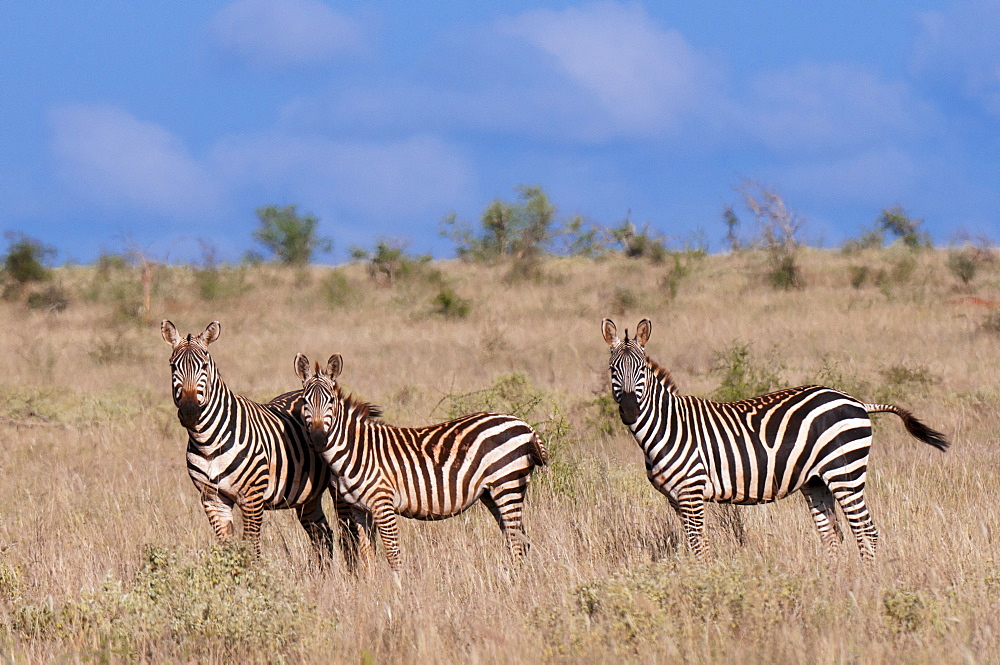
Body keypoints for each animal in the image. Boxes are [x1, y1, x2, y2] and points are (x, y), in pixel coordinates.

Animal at [162, 320, 366, 564]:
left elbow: (251, 547)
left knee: (349, 534)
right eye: (173, 366)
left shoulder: (251, 497)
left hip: (340, 490)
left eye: (203, 366)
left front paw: (253, 575)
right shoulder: (212, 499)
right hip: (307, 496)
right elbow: (226, 548)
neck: (207, 442)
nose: (190, 411)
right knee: (322, 534)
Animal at [292, 350, 552, 572]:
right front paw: (373, 591)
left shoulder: (383, 504)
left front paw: (398, 594)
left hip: (507, 485)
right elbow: (368, 558)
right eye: (305, 402)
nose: (318, 438)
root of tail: (524, 424)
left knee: (517, 543)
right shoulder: (358, 509)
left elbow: (393, 556)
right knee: (519, 539)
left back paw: (515, 584)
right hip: (493, 492)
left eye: (331, 402)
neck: (354, 449)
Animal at [596, 320, 948, 556]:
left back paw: (866, 584)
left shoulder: (692, 492)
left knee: (866, 532)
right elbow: (692, 545)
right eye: (613, 370)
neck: (667, 426)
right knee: (832, 534)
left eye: (641, 370)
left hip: (844, 472)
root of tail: (858, 401)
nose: (629, 410)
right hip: (816, 481)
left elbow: (699, 546)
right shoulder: (675, 498)